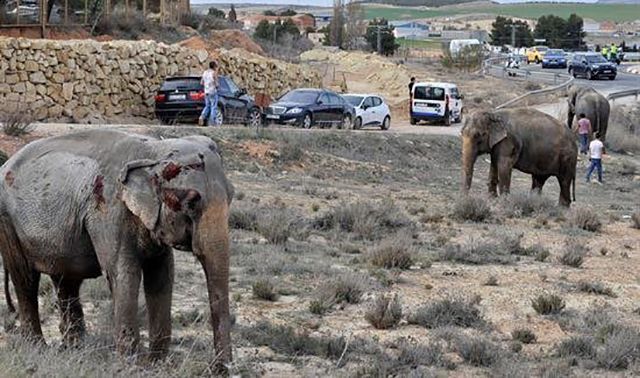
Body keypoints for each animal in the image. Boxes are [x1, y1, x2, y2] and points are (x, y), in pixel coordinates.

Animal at [0, 131, 235, 370]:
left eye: (232, 195)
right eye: (191, 202)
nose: (219, 369)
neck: (153, 152)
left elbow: (162, 275)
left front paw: (157, 364)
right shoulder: (109, 211)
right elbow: (124, 275)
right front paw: (131, 367)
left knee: (66, 281)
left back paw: (74, 351)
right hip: (7, 222)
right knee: (25, 278)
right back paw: (38, 348)